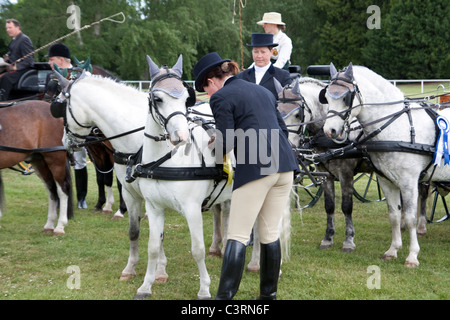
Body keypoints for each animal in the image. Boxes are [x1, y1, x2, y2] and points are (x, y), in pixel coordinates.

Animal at [0, 100, 73, 235]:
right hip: (40, 161)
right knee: (51, 189)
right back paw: (49, 224)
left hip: (55, 160)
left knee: (62, 189)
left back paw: (60, 226)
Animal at [322, 63, 448, 268]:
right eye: (325, 96)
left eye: (346, 97)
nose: (329, 130)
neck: (397, 126)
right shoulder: (386, 181)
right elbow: (394, 215)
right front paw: (393, 250)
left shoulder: (408, 181)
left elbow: (410, 218)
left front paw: (412, 256)